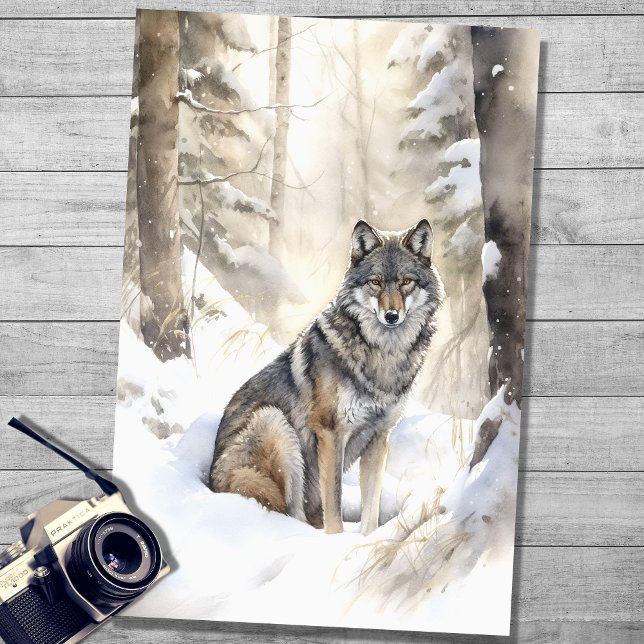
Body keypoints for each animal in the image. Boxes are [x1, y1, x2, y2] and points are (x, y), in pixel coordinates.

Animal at [208, 219, 445, 534]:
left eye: (406, 282)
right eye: (376, 282)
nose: (392, 316)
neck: (383, 354)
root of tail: (211, 483)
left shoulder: (378, 437)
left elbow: (371, 509)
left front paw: (365, 539)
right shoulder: (330, 433)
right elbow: (334, 506)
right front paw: (335, 538)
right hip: (276, 423)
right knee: (291, 512)